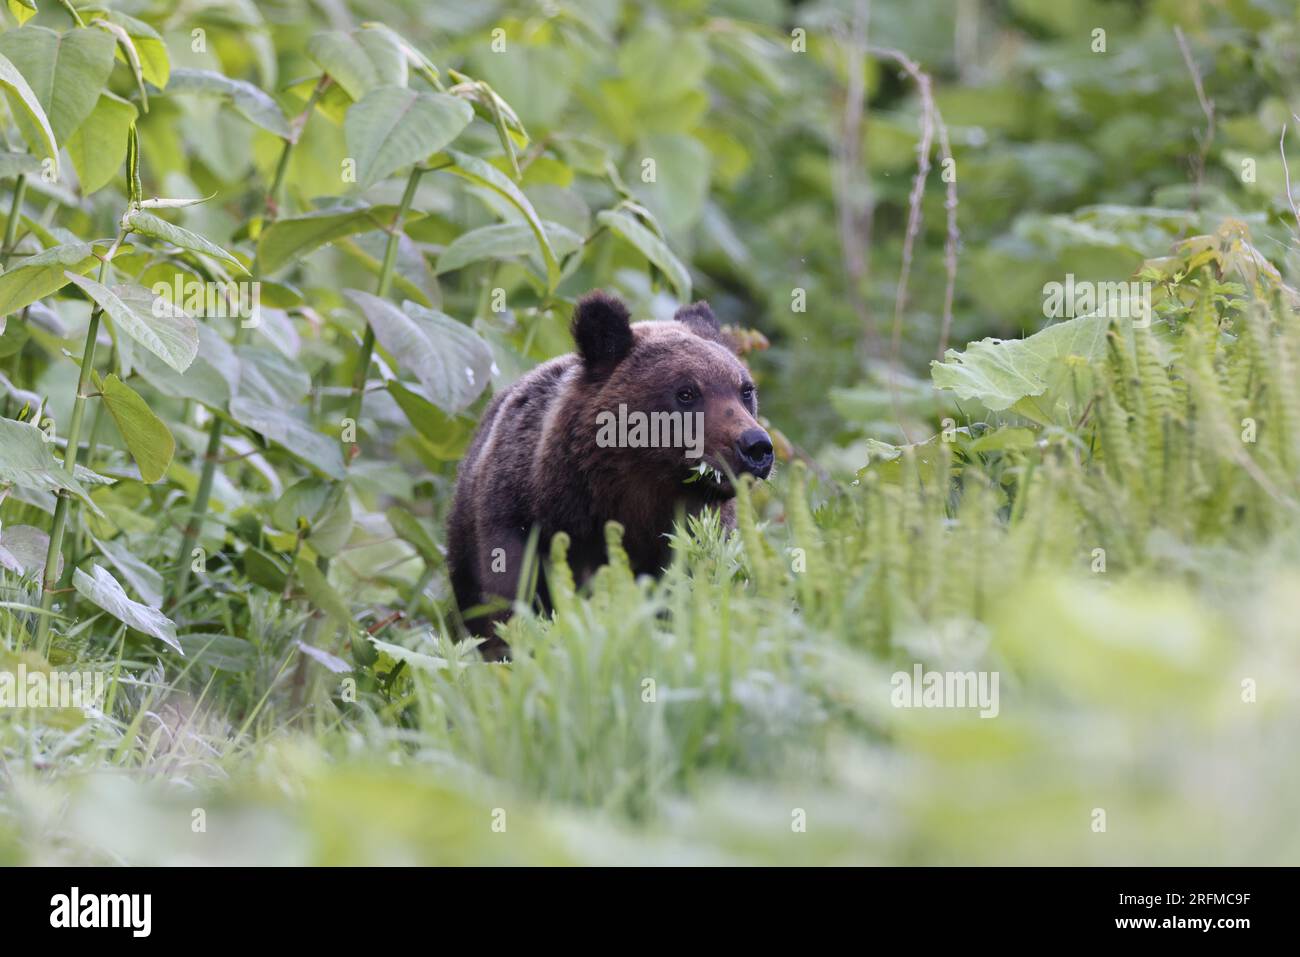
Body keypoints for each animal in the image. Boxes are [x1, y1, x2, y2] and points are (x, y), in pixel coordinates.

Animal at [447, 289, 769, 657]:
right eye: (687, 392)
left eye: (745, 389)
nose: (756, 447)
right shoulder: (520, 521)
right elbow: (508, 602)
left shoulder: (695, 533)